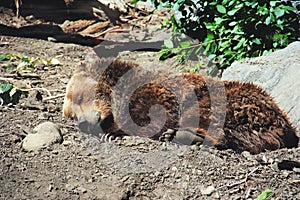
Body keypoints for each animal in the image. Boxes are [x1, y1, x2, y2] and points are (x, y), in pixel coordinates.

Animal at [62, 52, 298, 154]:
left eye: (80, 97)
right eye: (71, 115)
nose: (83, 123)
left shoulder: (155, 92)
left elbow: (155, 115)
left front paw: (114, 132)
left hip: (230, 100)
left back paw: (181, 135)